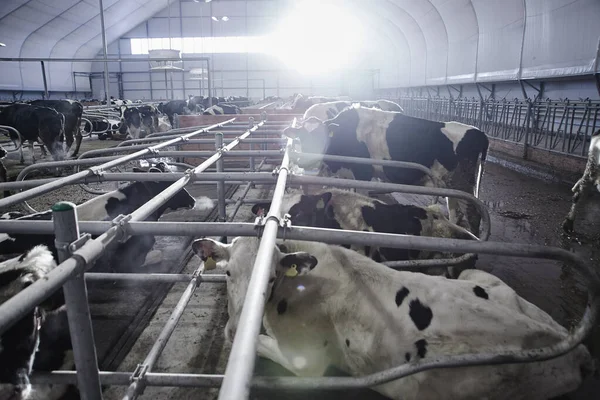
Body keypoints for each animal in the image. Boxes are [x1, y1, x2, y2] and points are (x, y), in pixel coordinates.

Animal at [193, 238, 596, 400]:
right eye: (227, 273)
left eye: (271, 279)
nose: (234, 327)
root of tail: (577, 350)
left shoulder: (306, 361)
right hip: (479, 279)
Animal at [284, 106, 490, 236]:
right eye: (302, 138)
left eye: (322, 137)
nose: (306, 160)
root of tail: (479, 132)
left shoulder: (363, 175)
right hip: (451, 185)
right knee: (455, 212)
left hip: (462, 182)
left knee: (474, 214)